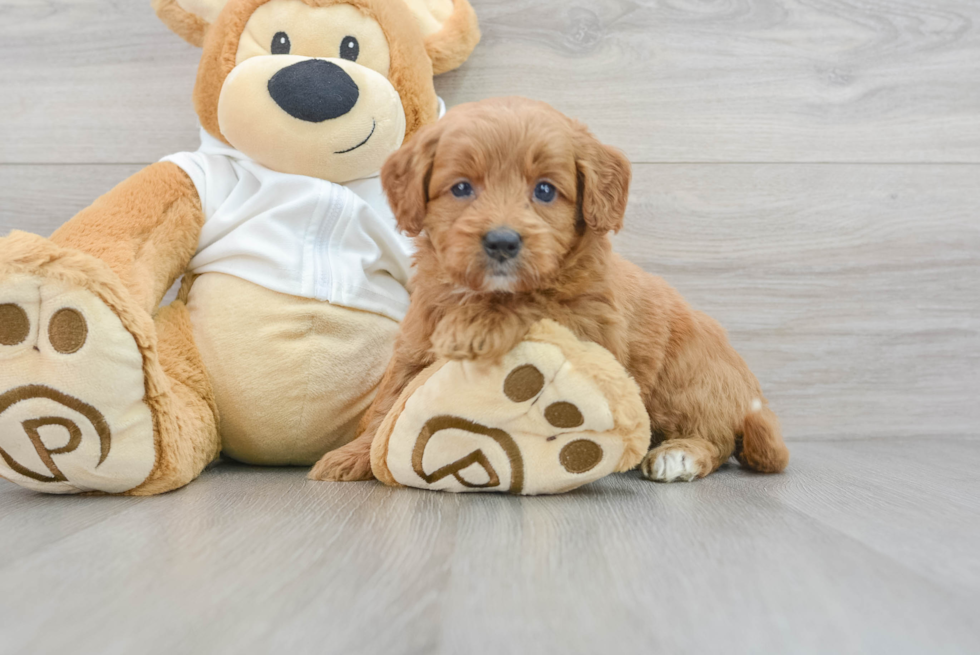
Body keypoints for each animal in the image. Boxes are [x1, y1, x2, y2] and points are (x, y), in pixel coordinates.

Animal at [314, 98, 788, 486]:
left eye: (544, 190)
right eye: (462, 187)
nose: (502, 242)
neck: (482, 291)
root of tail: (753, 402)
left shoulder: (591, 328)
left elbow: (537, 301)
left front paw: (478, 325)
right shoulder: (416, 342)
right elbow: (388, 405)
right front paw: (353, 456)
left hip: (687, 385)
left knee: (718, 441)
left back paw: (679, 456)